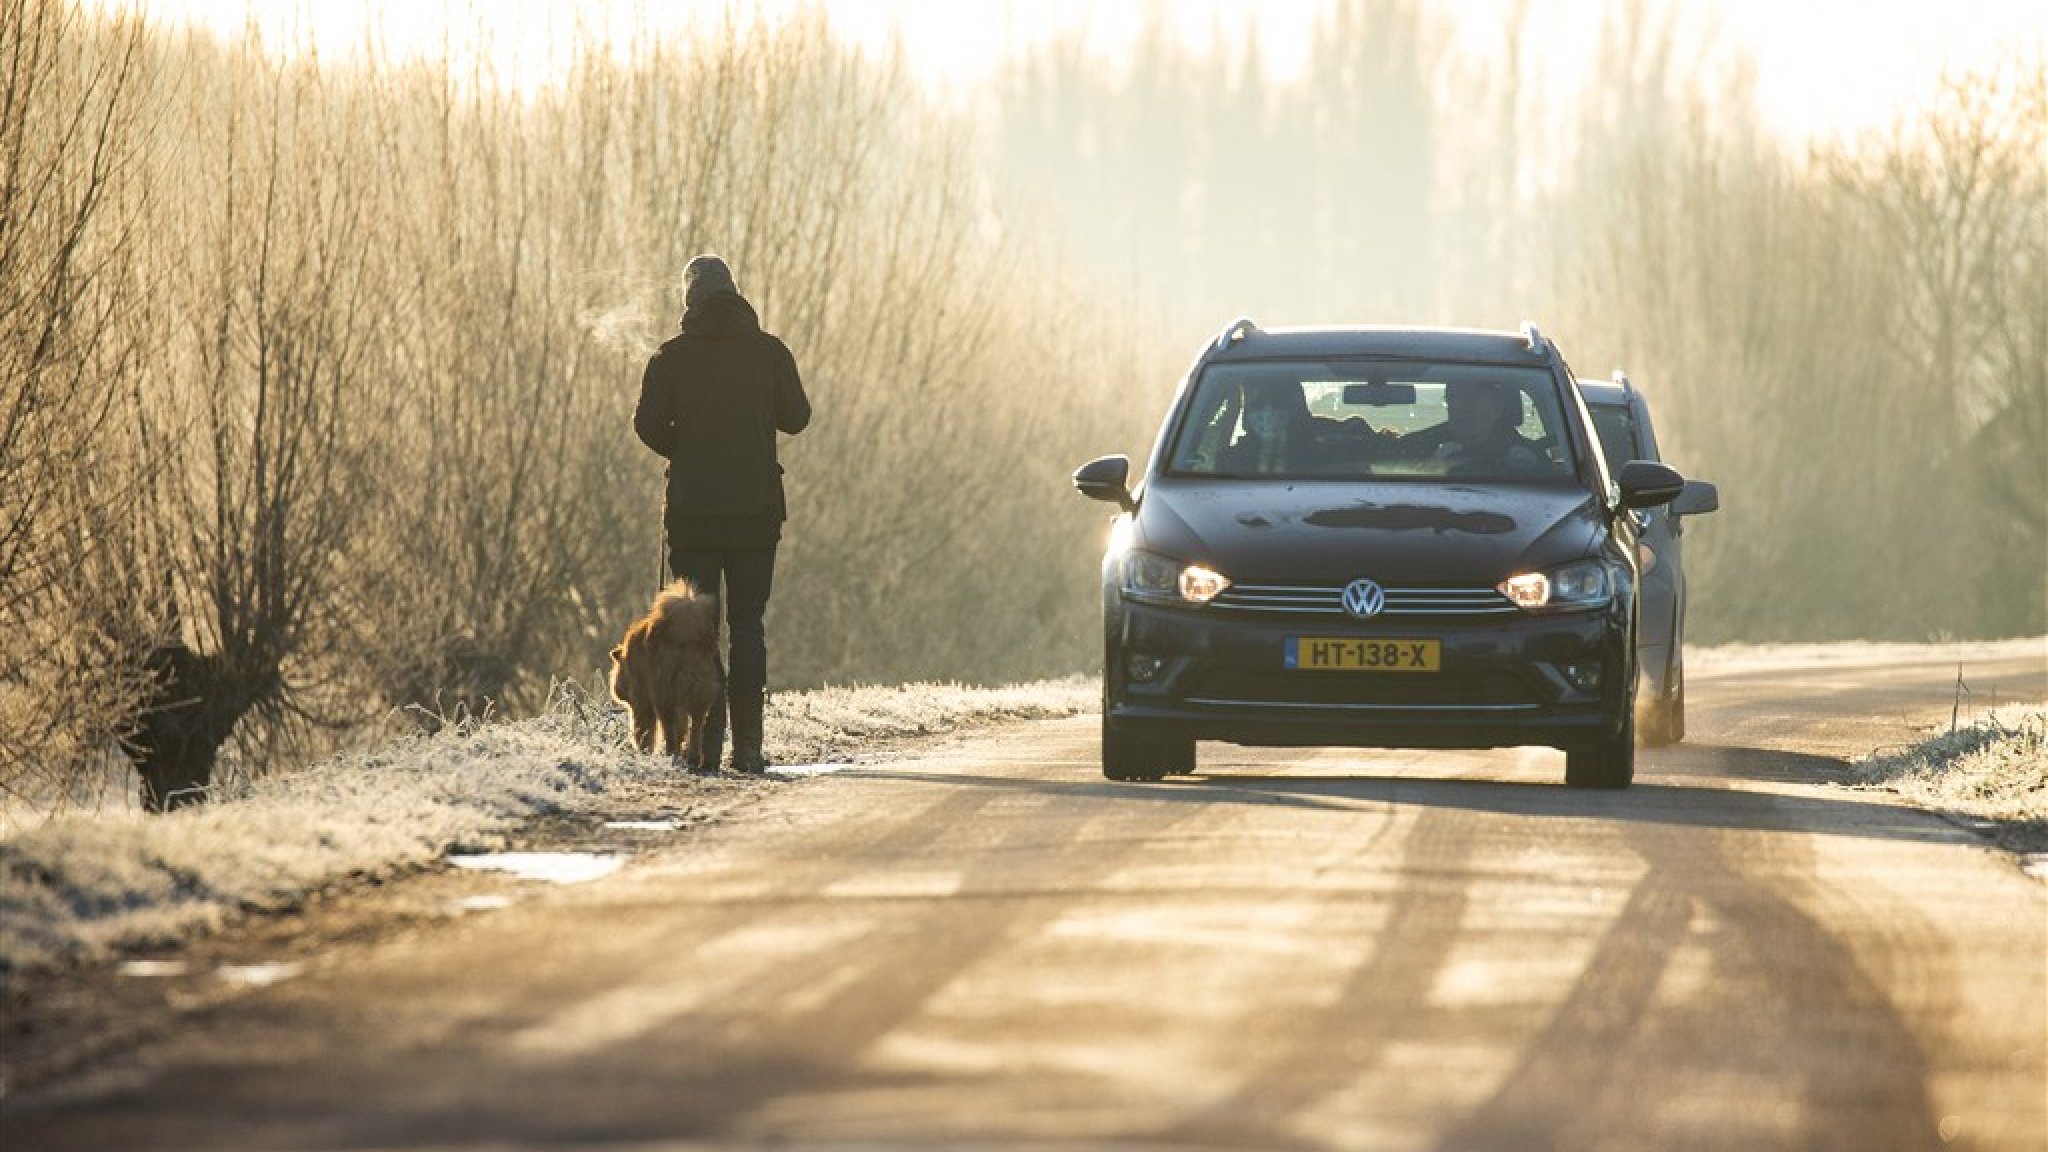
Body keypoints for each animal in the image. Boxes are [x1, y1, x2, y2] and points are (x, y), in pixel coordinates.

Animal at [606, 573, 729, 762]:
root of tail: (685, 633)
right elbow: (682, 727)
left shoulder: (641, 698)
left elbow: (644, 729)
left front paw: (644, 749)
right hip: (700, 688)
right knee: (696, 723)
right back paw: (692, 756)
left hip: (664, 691)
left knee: (669, 724)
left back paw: (672, 753)